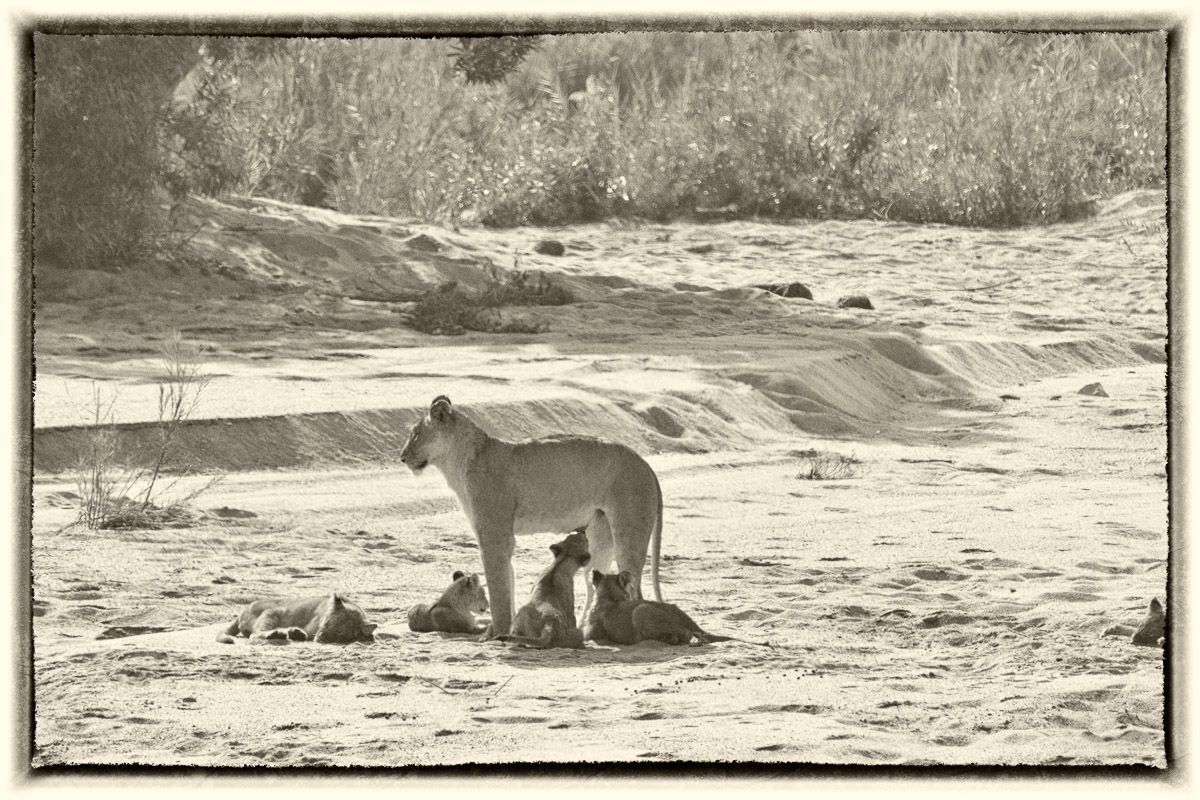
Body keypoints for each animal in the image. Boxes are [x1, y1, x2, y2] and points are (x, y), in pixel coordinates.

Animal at [217, 593, 377, 644]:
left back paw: (295, 633)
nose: (321, 636)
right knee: (255, 634)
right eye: (327, 622)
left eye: (340, 632)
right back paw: (279, 634)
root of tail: (241, 612)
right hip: (273, 612)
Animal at [399, 395, 663, 636]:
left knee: (633, 586)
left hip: (628, 531)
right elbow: (508, 579)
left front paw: (498, 633)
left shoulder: (494, 535)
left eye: (416, 434)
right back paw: (585, 629)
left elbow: (498, 589)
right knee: (595, 582)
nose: (401, 457)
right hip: (600, 535)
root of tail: (647, 465)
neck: (457, 463)